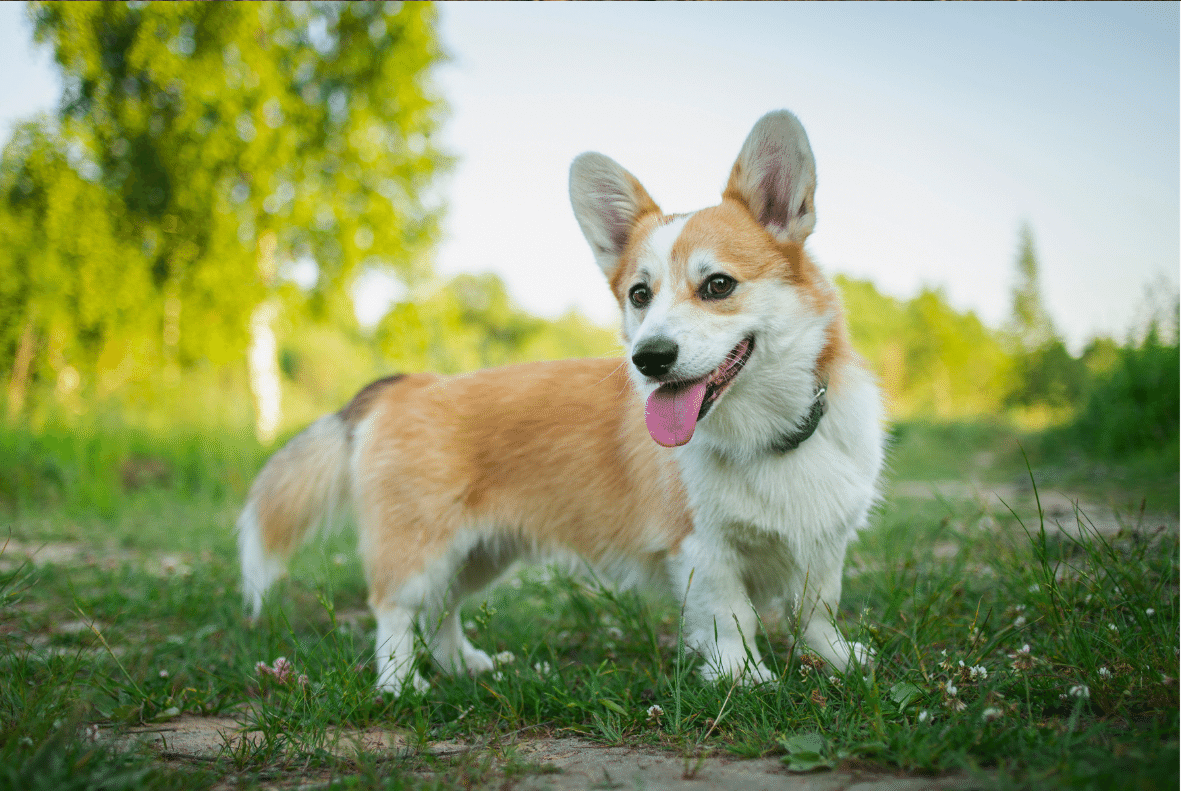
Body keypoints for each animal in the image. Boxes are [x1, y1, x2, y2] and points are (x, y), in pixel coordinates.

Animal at [239, 109, 883, 694]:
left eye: (718, 285)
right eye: (640, 294)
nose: (649, 360)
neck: (768, 433)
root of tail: (402, 386)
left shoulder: (826, 545)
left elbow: (818, 610)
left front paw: (841, 660)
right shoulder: (704, 549)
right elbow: (734, 619)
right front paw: (745, 679)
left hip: (480, 553)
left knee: (443, 609)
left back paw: (464, 665)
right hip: (421, 550)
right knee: (394, 610)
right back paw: (402, 684)